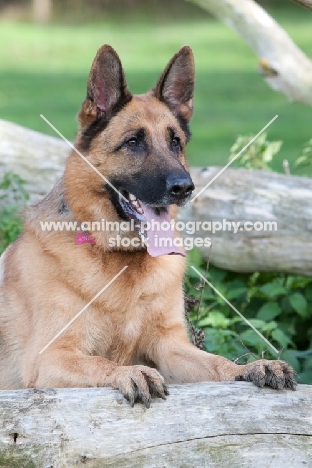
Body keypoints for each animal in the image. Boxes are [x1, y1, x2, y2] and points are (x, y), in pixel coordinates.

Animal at [0, 45, 296, 408]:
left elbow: (216, 363)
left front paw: (252, 366)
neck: (121, 259)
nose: (184, 187)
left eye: (175, 142)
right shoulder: (49, 358)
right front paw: (128, 372)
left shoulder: (171, 348)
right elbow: (101, 362)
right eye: (133, 142)